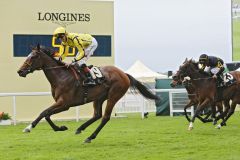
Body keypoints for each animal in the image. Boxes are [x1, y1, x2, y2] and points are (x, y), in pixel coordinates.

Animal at [16, 44, 159, 143]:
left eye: (33, 56)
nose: (20, 71)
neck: (61, 76)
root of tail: (124, 74)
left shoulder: (65, 104)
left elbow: (44, 113)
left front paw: (29, 127)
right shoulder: (61, 103)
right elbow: (46, 115)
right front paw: (60, 128)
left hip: (114, 96)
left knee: (105, 117)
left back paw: (90, 137)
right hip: (99, 98)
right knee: (97, 115)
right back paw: (80, 128)